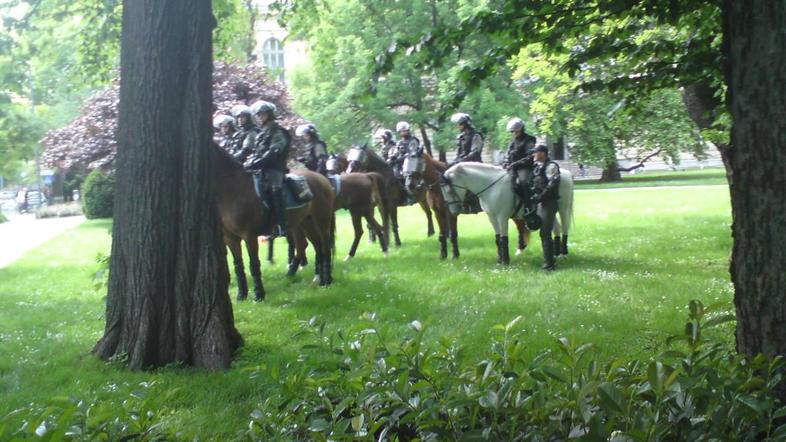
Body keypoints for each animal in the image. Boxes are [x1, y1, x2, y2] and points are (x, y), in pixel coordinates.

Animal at [213, 148, 336, 300]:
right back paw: (316, 278)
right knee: (315, 247)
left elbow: (254, 264)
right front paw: (241, 295)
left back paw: (326, 280)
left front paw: (259, 294)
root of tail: (323, 179)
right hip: (305, 224)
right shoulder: (230, 238)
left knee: (324, 247)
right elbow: (238, 264)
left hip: (321, 221)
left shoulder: (249, 235)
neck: (234, 189)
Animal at [440, 162, 574, 265]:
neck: (492, 187)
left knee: (565, 228)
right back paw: (556, 254)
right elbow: (497, 238)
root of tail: (565, 173)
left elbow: (504, 238)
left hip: (564, 209)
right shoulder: (492, 217)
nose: (453, 211)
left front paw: (505, 261)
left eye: (448, 190)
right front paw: (500, 260)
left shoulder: (502, 217)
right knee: (557, 228)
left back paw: (563, 253)